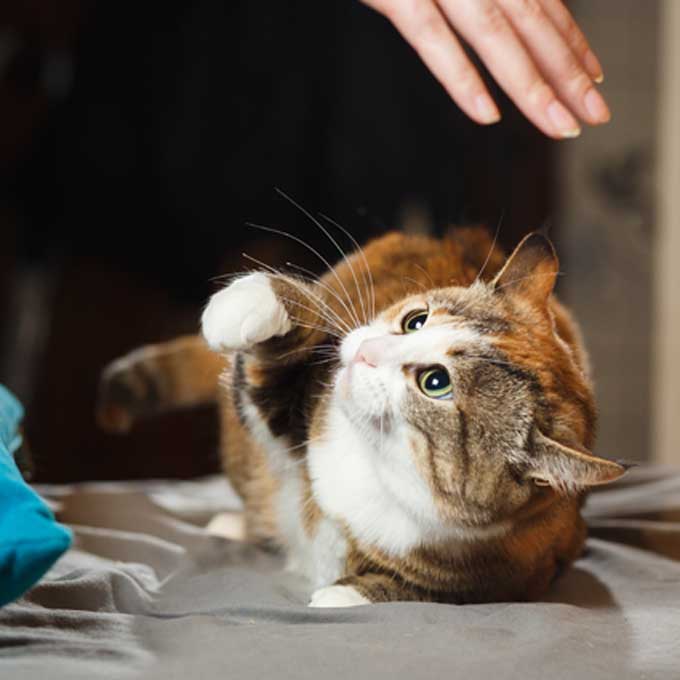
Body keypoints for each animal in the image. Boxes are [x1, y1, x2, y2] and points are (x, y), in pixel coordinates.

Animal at [97, 227, 628, 604]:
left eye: (436, 382)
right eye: (416, 320)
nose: (366, 350)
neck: (374, 464)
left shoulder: (529, 565)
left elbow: (430, 591)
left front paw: (343, 595)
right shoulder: (301, 407)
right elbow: (274, 369)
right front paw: (243, 305)